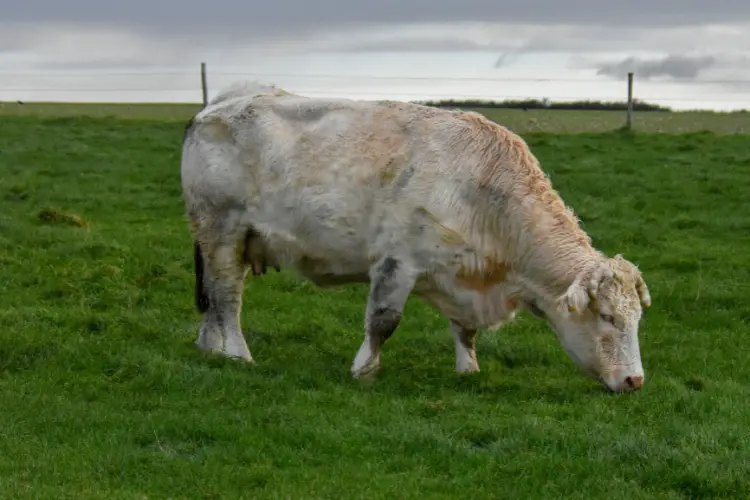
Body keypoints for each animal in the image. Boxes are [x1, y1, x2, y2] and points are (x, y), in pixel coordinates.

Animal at [181, 82, 652, 392]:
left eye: (636, 320)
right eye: (607, 318)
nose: (635, 380)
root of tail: (217, 104)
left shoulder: (462, 271)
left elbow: (465, 329)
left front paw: (468, 368)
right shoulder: (397, 261)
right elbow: (383, 320)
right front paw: (364, 370)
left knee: (214, 296)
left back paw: (209, 347)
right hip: (222, 230)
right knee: (227, 297)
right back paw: (237, 353)